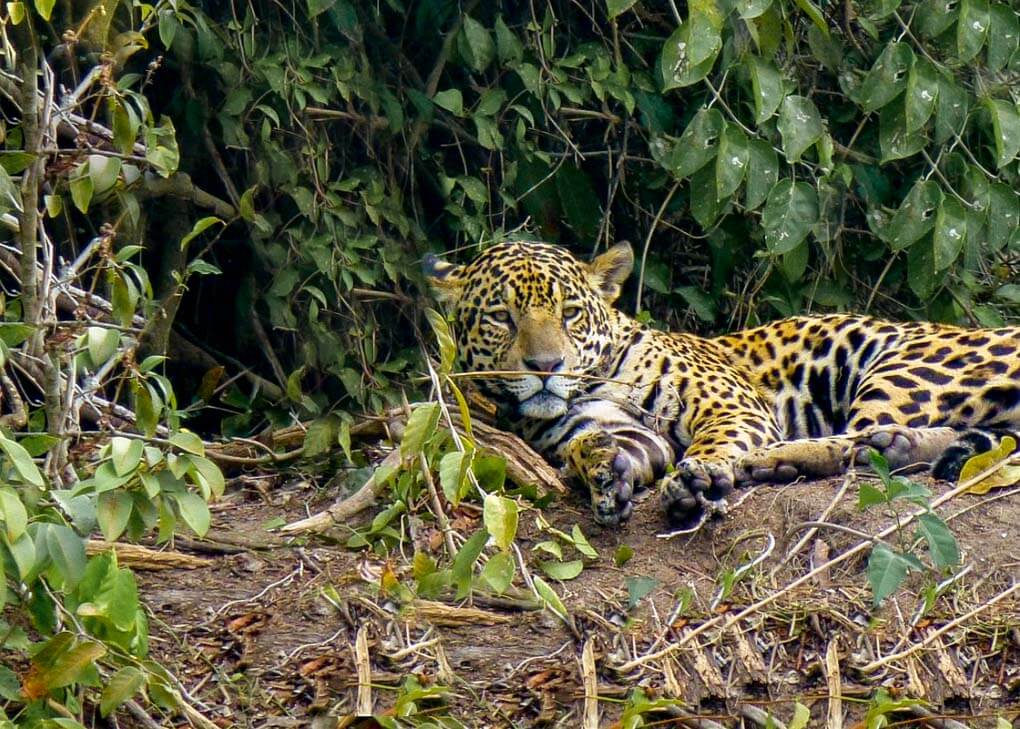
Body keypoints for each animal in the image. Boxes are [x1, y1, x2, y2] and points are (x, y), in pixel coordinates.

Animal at [424, 240, 1020, 528]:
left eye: (570, 313)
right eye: (501, 317)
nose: (547, 366)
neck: (597, 378)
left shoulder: (730, 403)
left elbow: (715, 441)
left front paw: (701, 474)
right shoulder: (624, 430)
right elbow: (606, 444)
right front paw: (603, 470)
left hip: (899, 367)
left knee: (863, 438)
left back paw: (773, 460)